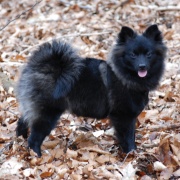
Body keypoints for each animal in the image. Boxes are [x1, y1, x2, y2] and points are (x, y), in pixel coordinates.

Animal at [16, 24, 167, 156]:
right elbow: (128, 137)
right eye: (133, 55)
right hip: (47, 113)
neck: (123, 76)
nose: (142, 66)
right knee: (34, 138)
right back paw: (36, 155)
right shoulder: (123, 116)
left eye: (148, 54)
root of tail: (40, 67)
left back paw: (18, 142)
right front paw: (132, 153)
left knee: (22, 122)